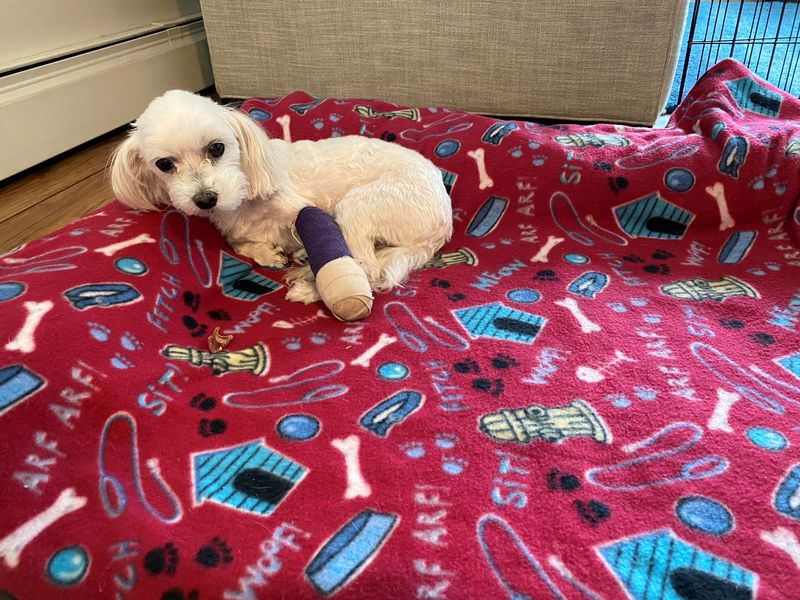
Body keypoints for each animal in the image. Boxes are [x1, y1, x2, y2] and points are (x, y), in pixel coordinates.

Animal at [109, 89, 454, 302]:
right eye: (164, 164)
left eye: (217, 148)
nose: (205, 199)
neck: (244, 199)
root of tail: (441, 226)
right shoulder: (230, 231)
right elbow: (239, 243)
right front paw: (265, 253)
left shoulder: (307, 210)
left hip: (357, 207)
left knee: (365, 267)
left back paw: (310, 285)